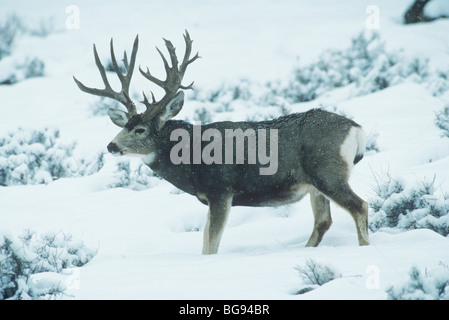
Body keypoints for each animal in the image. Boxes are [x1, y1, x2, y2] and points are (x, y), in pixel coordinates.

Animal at [73, 31, 368, 254]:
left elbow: (210, 245)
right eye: (124, 125)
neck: (191, 160)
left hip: (327, 171)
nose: (111, 146)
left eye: (140, 129)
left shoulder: (221, 190)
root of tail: (356, 128)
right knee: (323, 221)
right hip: (315, 184)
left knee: (359, 206)